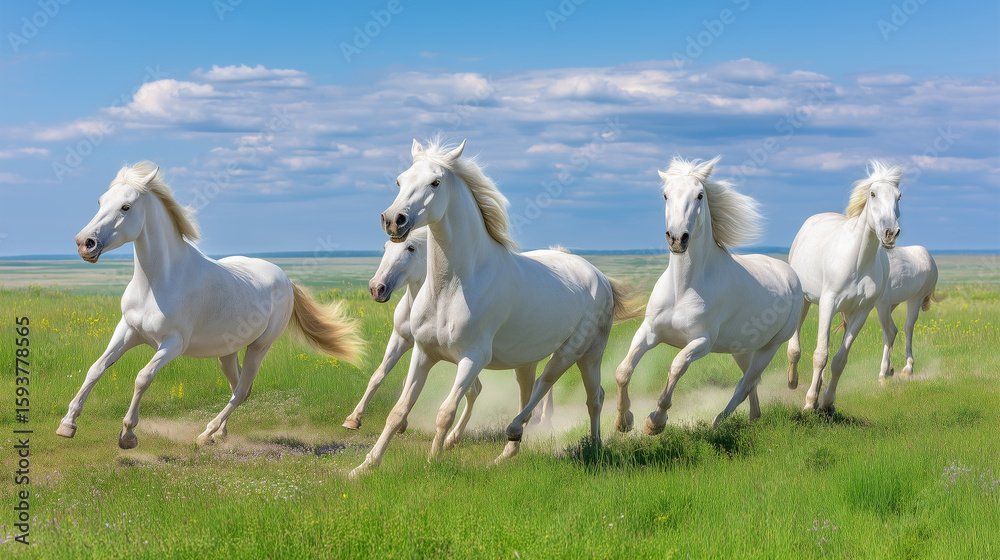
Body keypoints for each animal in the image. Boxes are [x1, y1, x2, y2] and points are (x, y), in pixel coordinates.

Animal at [58, 161, 363, 449]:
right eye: (100, 201)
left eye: (126, 206)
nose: (84, 243)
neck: (157, 283)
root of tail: (286, 279)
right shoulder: (128, 331)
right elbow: (96, 368)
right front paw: (67, 425)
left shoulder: (172, 344)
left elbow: (143, 377)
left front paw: (128, 435)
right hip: (227, 352)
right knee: (240, 387)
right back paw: (220, 434)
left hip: (260, 347)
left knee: (241, 391)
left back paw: (206, 434)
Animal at [342, 227, 555, 438]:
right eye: (385, 247)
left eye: (411, 248)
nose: (376, 288)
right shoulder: (401, 339)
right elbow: (379, 375)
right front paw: (353, 419)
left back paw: (542, 419)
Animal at [613, 157, 803, 434]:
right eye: (665, 195)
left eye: (700, 195)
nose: (677, 238)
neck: (683, 289)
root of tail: (791, 274)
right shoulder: (649, 331)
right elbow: (623, 370)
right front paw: (623, 421)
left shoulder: (702, 341)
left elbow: (677, 366)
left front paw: (655, 422)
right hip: (742, 349)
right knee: (752, 382)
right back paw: (753, 418)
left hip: (770, 347)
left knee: (744, 385)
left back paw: (718, 422)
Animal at [786, 160, 902, 413]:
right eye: (873, 193)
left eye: (899, 196)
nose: (890, 232)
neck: (857, 260)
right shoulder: (828, 303)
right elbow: (820, 354)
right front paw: (809, 402)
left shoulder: (861, 312)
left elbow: (839, 359)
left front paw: (827, 402)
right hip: (805, 300)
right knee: (795, 346)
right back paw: (792, 381)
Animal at [875, 245, 943, 378]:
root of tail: (926, 254)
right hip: (890, 304)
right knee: (892, 331)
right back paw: (890, 368)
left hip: (913, 300)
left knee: (907, 328)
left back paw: (907, 367)